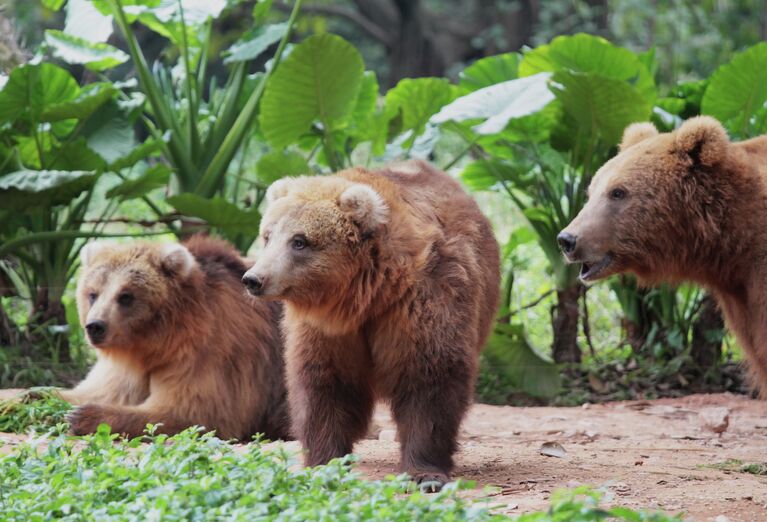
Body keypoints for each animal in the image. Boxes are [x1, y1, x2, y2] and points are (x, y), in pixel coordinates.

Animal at [62, 234, 292, 440]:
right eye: (93, 294)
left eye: (126, 296)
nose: (95, 326)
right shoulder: (126, 367)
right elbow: (96, 390)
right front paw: (59, 402)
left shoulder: (212, 350)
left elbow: (190, 413)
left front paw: (83, 416)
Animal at [243, 158, 500, 488]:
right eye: (267, 235)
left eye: (299, 241)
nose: (254, 278)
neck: (366, 295)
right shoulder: (328, 331)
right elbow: (325, 384)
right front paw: (325, 462)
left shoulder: (423, 301)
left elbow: (429, 379)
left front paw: (426, 472)